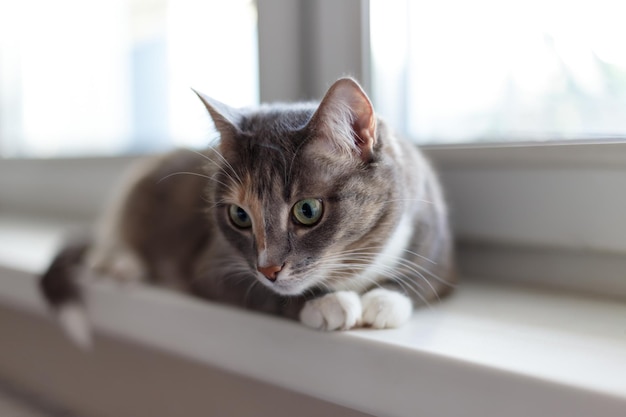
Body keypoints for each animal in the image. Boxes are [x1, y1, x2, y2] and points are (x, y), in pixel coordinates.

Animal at [39, 76, 454, 346]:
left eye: (307, 209)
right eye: (239, 216)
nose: (268, 269)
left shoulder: (435, 239)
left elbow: (424, 278)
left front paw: (383, 302)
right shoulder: (212, 266)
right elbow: (261, 293)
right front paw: (329, 303)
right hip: (134, 190)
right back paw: (119, 263)